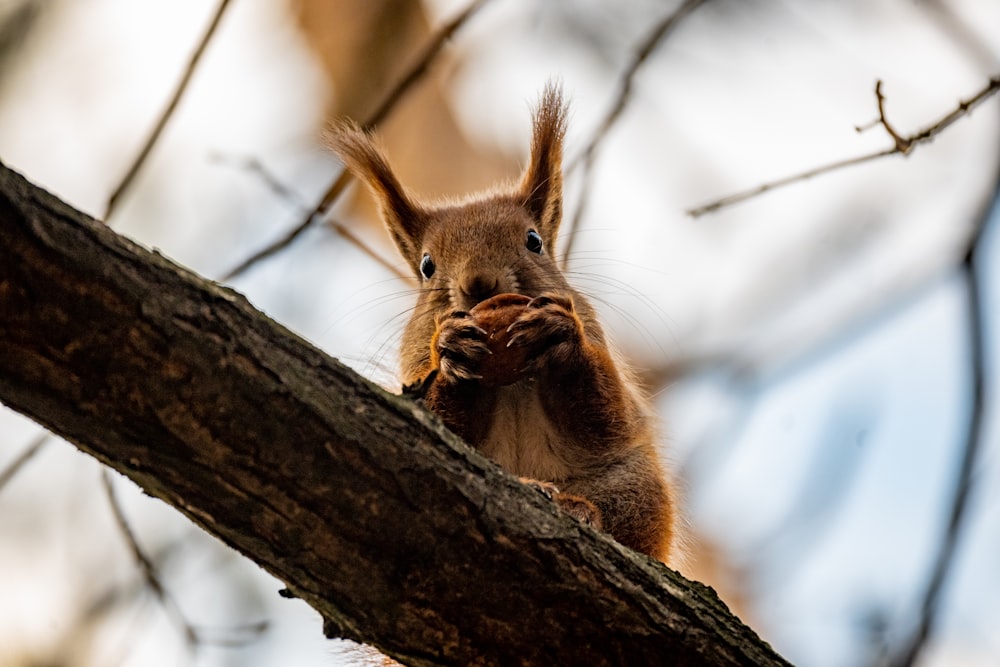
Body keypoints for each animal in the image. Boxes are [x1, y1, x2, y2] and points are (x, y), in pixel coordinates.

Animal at [332, 82, 676, 564]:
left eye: (533, 241)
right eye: (426, 266)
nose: (479, 282)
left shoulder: (596, 342)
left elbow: (606, 418)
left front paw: (560, 337)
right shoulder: (414, 363)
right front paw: (454, 349)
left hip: (636, 486)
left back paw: (579, 507)